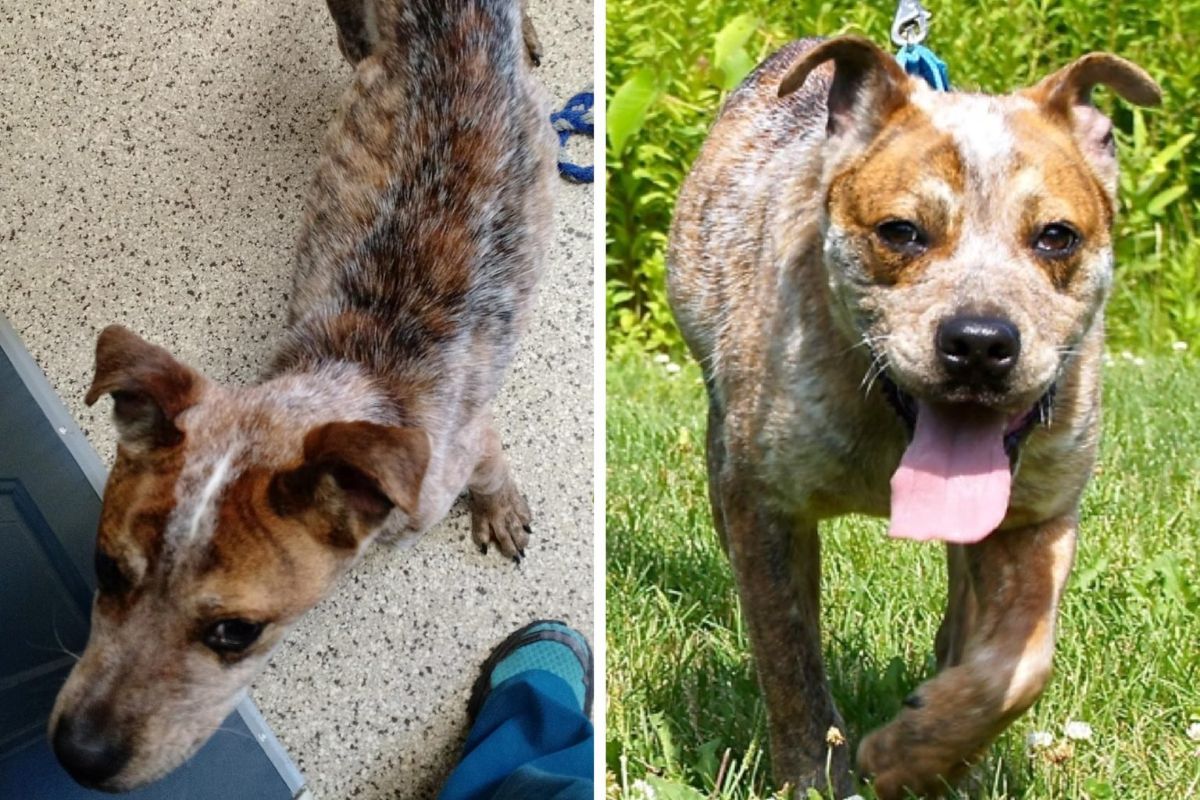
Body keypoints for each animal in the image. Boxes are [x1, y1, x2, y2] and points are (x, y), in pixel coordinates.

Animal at [46, 0, 552, 791]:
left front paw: (499, 510)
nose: (77, 756)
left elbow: (494, 469)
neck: (346, 380)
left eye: (236, 631)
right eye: (105, 568)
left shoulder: (470, 438)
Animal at [672, 35, 1156, 800]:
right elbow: (790, 659)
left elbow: (1019, 667)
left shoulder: (1040, 515)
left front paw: (918, 752)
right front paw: (819, 777)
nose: (980, 343)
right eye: (901, 232)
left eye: (1057, 237)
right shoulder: (766, 505)